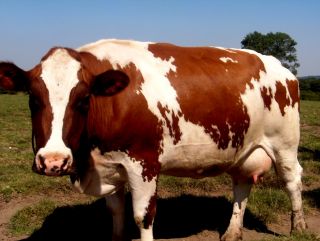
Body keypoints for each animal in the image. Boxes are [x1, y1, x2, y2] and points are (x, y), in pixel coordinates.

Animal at [0, 38, 308, 240]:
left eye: (83, 100)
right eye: (33, 99)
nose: (53, 161)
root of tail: (276, 65)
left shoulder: (143, 163)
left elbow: (142, 215)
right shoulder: (109, 165)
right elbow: (116, 211)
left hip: (285, 144)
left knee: (292, 180)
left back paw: (299, 227)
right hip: (243, 148)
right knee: (242, 186)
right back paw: (232, 232)